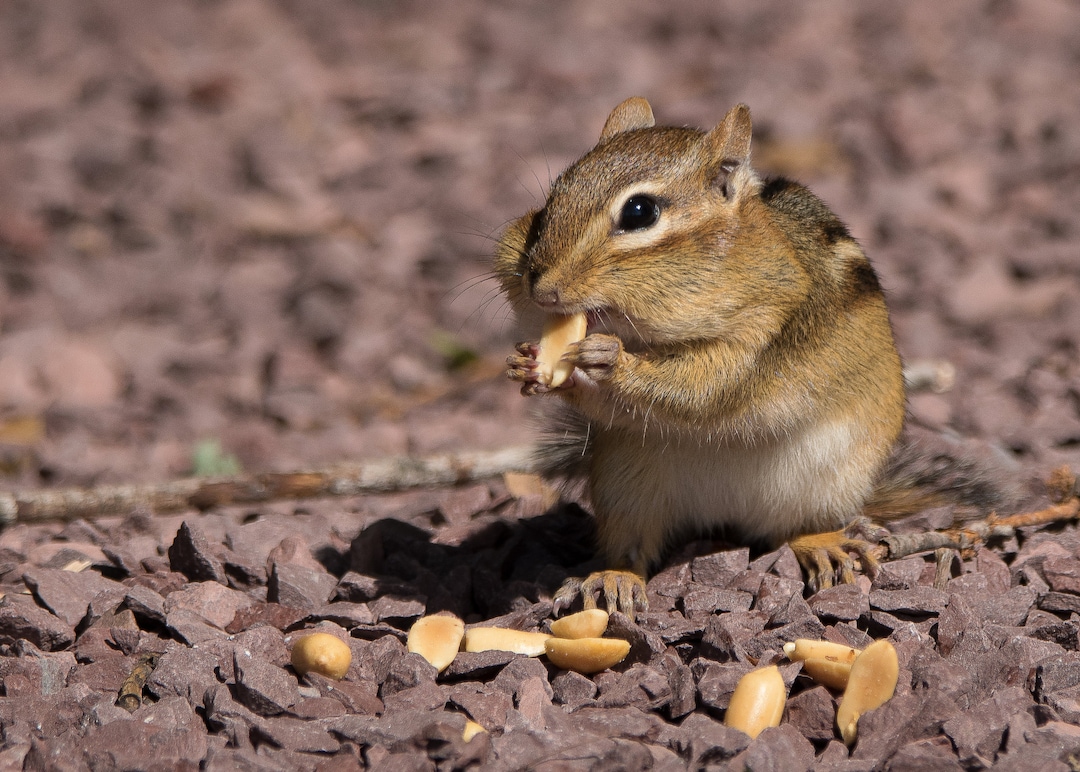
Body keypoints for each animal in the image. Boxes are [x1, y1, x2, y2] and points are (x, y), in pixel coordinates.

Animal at [495, 98, 1023, 617]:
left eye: (640, 212)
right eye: (555, 193)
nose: (540, 288)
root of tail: (725, 513)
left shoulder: (762, 331)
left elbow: (701, 388)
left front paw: (609, 359)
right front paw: (531, 364)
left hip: (827, 479)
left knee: (795, 528)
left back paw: (820, 544)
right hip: (626, 485)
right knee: (632, 544)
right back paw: (614, 577)